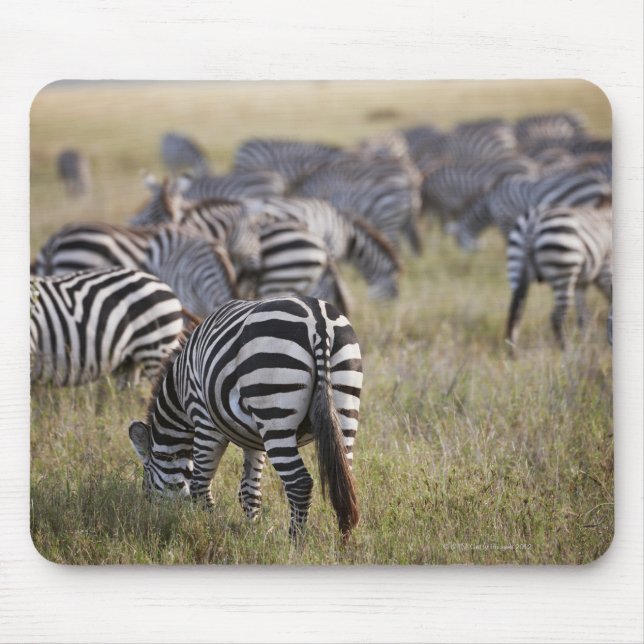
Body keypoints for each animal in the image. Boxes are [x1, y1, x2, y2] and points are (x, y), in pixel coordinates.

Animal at [128, 296, 362, 541]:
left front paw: (208, 528)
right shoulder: (254, 439)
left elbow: (199, 484)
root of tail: (318, 322)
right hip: (345, 406)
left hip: (275, 412)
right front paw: (253, 533)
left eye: (147, 486)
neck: (179, 392)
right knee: (345, 482)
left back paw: (295, 542)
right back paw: (344, 543)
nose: (157, 518)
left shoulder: (204, 421)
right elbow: (249, 491)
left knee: (300, 483)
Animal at [505, 205, 612, 351]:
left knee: (515, 314)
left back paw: (513, 353)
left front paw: (586, 345)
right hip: (564, 267)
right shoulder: (606, 270)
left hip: (515, 265)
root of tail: (532, 224)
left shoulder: (581, 283)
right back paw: (568, 351)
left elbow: (584, 317)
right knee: (556, 318)